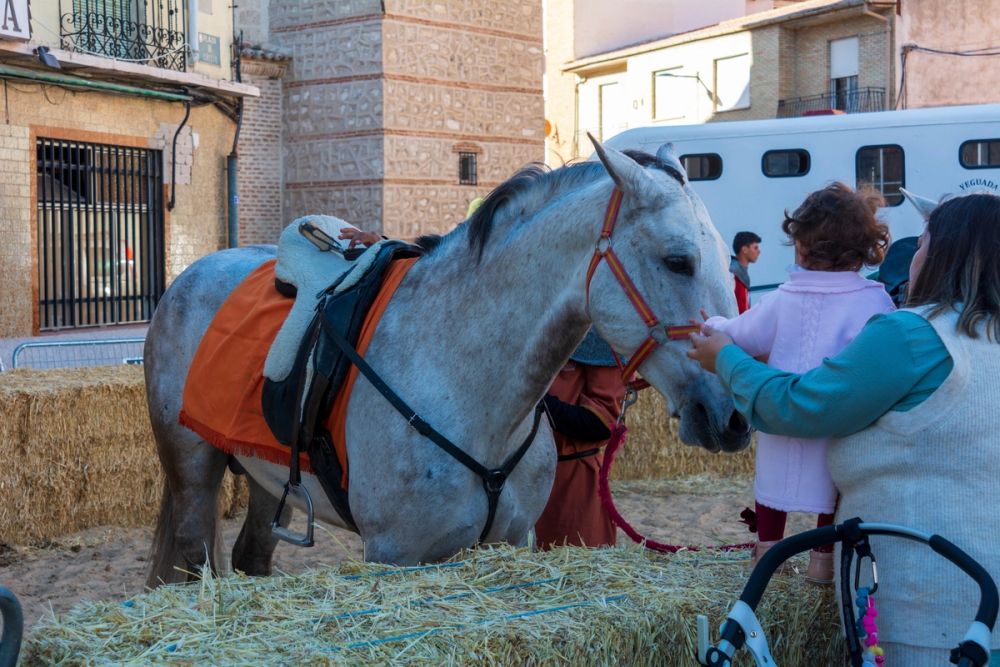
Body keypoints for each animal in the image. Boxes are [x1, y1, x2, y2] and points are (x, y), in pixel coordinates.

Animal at [144, 139, 751, 586]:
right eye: (678, 260)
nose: (735, 414)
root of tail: (190, 274)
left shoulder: (514, 540)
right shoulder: (394, 555)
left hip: (268, 476)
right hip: (192, 471)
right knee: (191, 561)